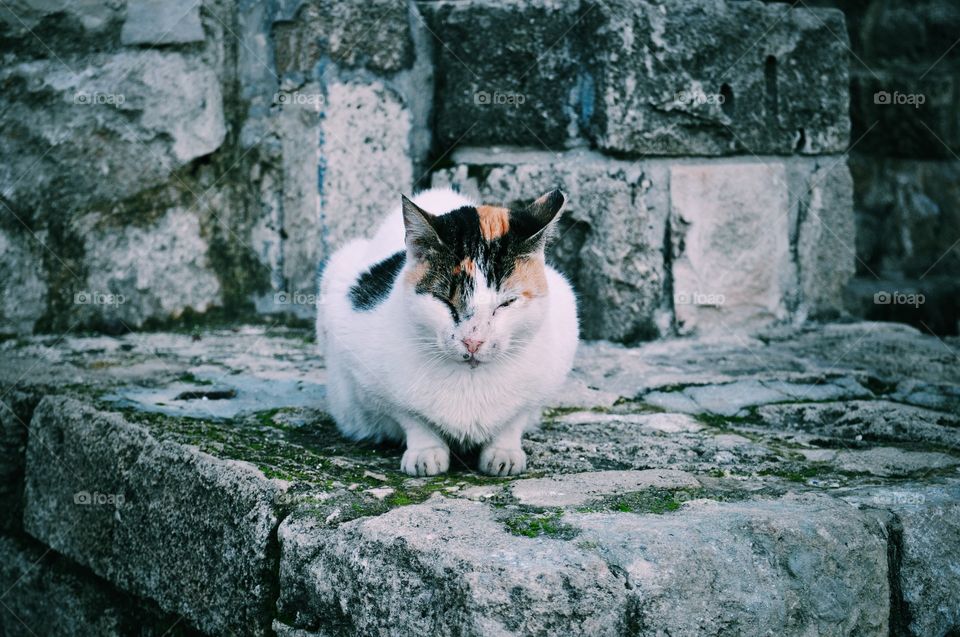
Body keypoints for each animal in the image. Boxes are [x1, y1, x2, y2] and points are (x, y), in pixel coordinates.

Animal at [320, 186, 576, 474]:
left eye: (507, 303)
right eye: (444, 301)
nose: (473, 341)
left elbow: (515, 418)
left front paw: (504, 451)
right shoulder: (365, 371)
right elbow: (410, 417)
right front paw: (425, 452)